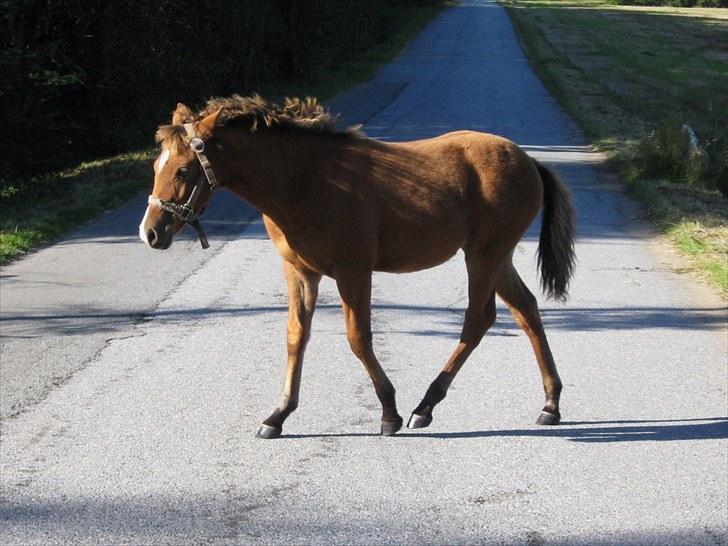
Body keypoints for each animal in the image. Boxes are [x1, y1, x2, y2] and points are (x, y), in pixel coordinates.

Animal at [139, 95, 576, 438]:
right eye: (156, 166)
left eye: (183, 170)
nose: (150, 233)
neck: (305, 181)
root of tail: (529, 160)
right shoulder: (300, 272)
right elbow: (296, 336)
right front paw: (278, 415)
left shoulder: (354, 271)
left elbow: (358, 338)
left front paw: (389, 411)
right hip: (495, 258)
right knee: (525, 309)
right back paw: (550, 403)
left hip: (484, 256)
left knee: (478, 320)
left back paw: (424, 407)